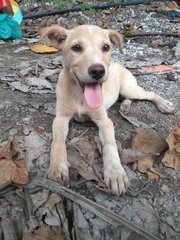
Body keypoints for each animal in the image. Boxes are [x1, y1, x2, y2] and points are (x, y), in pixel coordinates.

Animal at [41, 24, 174, 195]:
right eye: (76, 47)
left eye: (106, 47)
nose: (98, 71)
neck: (80, 95)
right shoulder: (60, 118)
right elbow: (57, 142)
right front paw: (58, 166)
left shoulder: (104, 121)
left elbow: (110, 145)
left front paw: (115, 173)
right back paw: (125, 106)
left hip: (129, 88)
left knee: (148, 94)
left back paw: (163, 104)